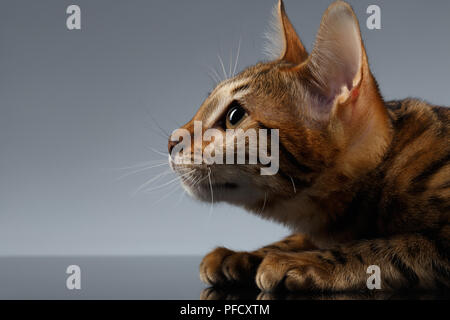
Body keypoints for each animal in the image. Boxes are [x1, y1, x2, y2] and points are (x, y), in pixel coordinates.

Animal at [167, 0, 448, 292]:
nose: (170, 142)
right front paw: (246, 255)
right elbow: (297, 237)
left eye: (234, 116)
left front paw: (303, 261)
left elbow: (387, 247)